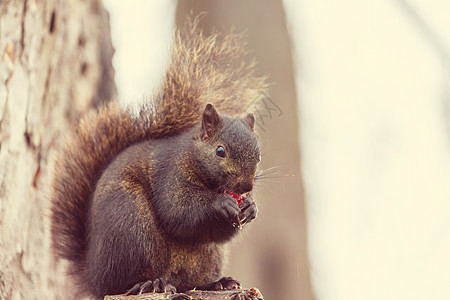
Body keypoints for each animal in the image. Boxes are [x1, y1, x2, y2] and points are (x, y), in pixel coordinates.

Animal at [50, 17, 268, 300]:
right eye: (220, 151)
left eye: (259, 156)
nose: (246, 187)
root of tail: (95, 277)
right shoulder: (170, 174)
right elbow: (177, 210)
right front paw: (220, 203)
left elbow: (216, 232)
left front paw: (251, 207)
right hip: (132, 226)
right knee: (124, 282)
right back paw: (148, 284)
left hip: (206, 257)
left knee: (190, 281)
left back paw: (218, 283)